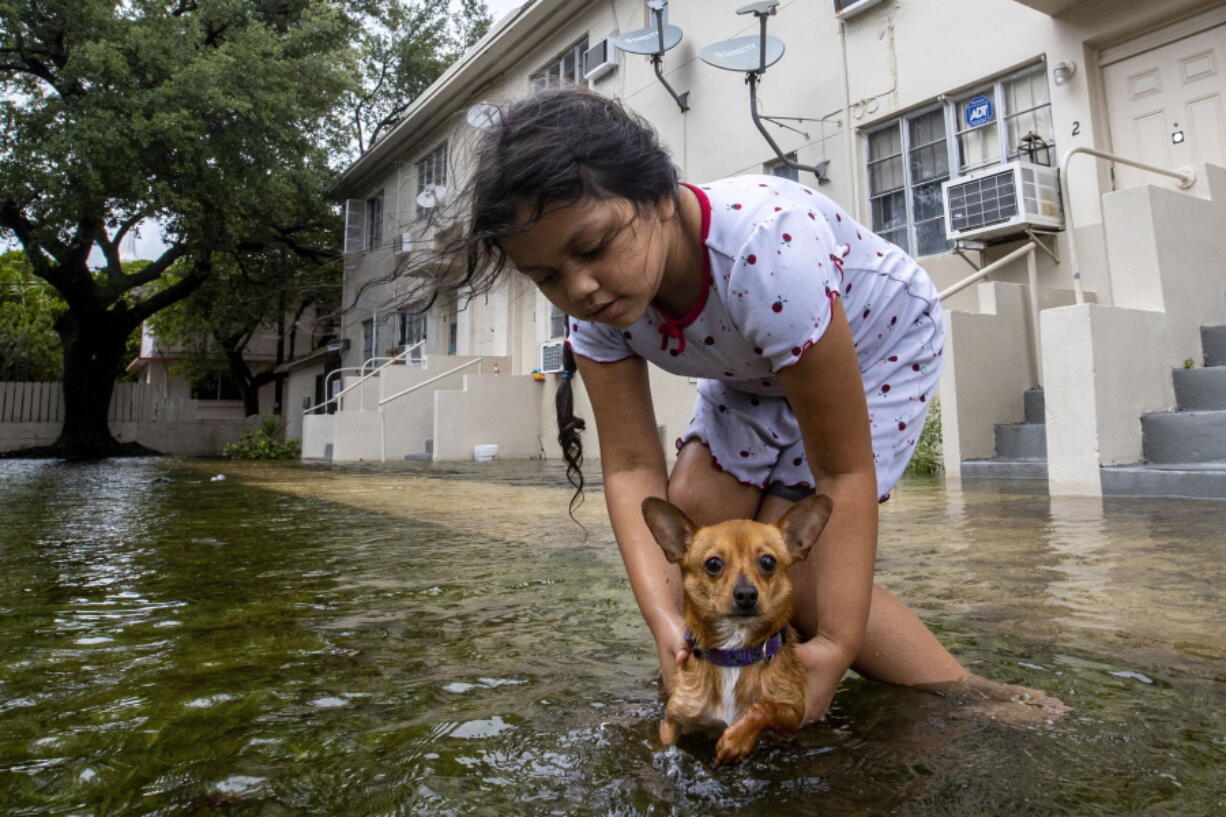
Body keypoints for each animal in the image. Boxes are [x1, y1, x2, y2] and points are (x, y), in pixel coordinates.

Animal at [642, 490, 833, 765]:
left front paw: (737, 739)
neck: (734, 654)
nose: (745, 594)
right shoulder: (673, 720)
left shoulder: (793, 714)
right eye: (713, 564)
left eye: (768, 561)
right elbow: (665, 745)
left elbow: (764, 708)